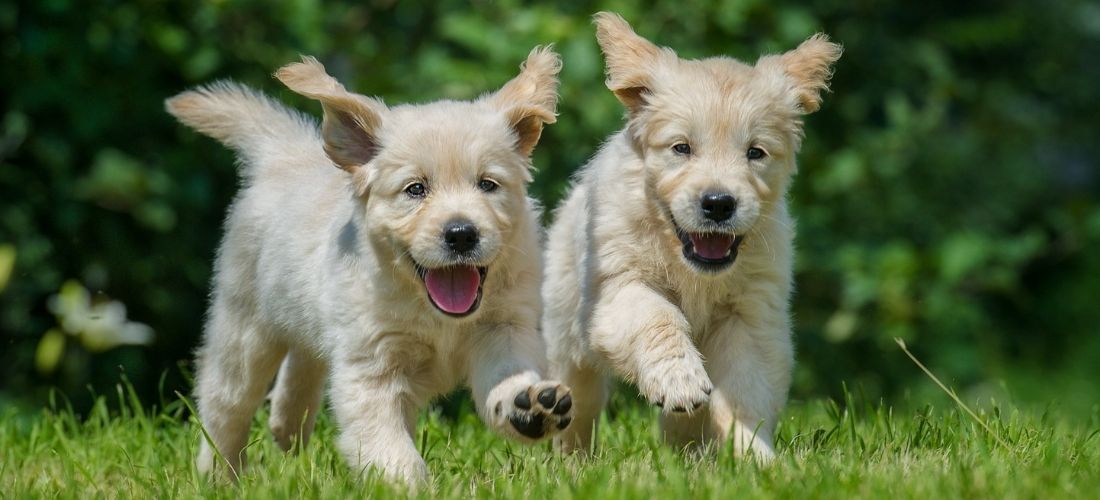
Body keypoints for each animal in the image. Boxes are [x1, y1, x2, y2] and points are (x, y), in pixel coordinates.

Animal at [167, 46, 576, 485]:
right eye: (416, 189)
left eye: (488, 184)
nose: (462, 234)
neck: (436, 314)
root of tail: (287, 156)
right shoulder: (371, 364)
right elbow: (385, 441)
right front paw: (408, 485)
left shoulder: (504, 327)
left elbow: (508, 372)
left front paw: (527, 406)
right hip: (244, 327)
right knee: (226, 403)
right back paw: (219, 475)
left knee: (301, 367)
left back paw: (287, 430)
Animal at [541, 13, 840, 461]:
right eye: (681, 148)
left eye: (755, 152)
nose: (718, 204)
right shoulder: (615, 291)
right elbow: (657, 318)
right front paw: (678, 380)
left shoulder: (749, 315)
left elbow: (744, 392)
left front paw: (754, 455)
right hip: (565, 332)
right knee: (578, 398)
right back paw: (565, 454)